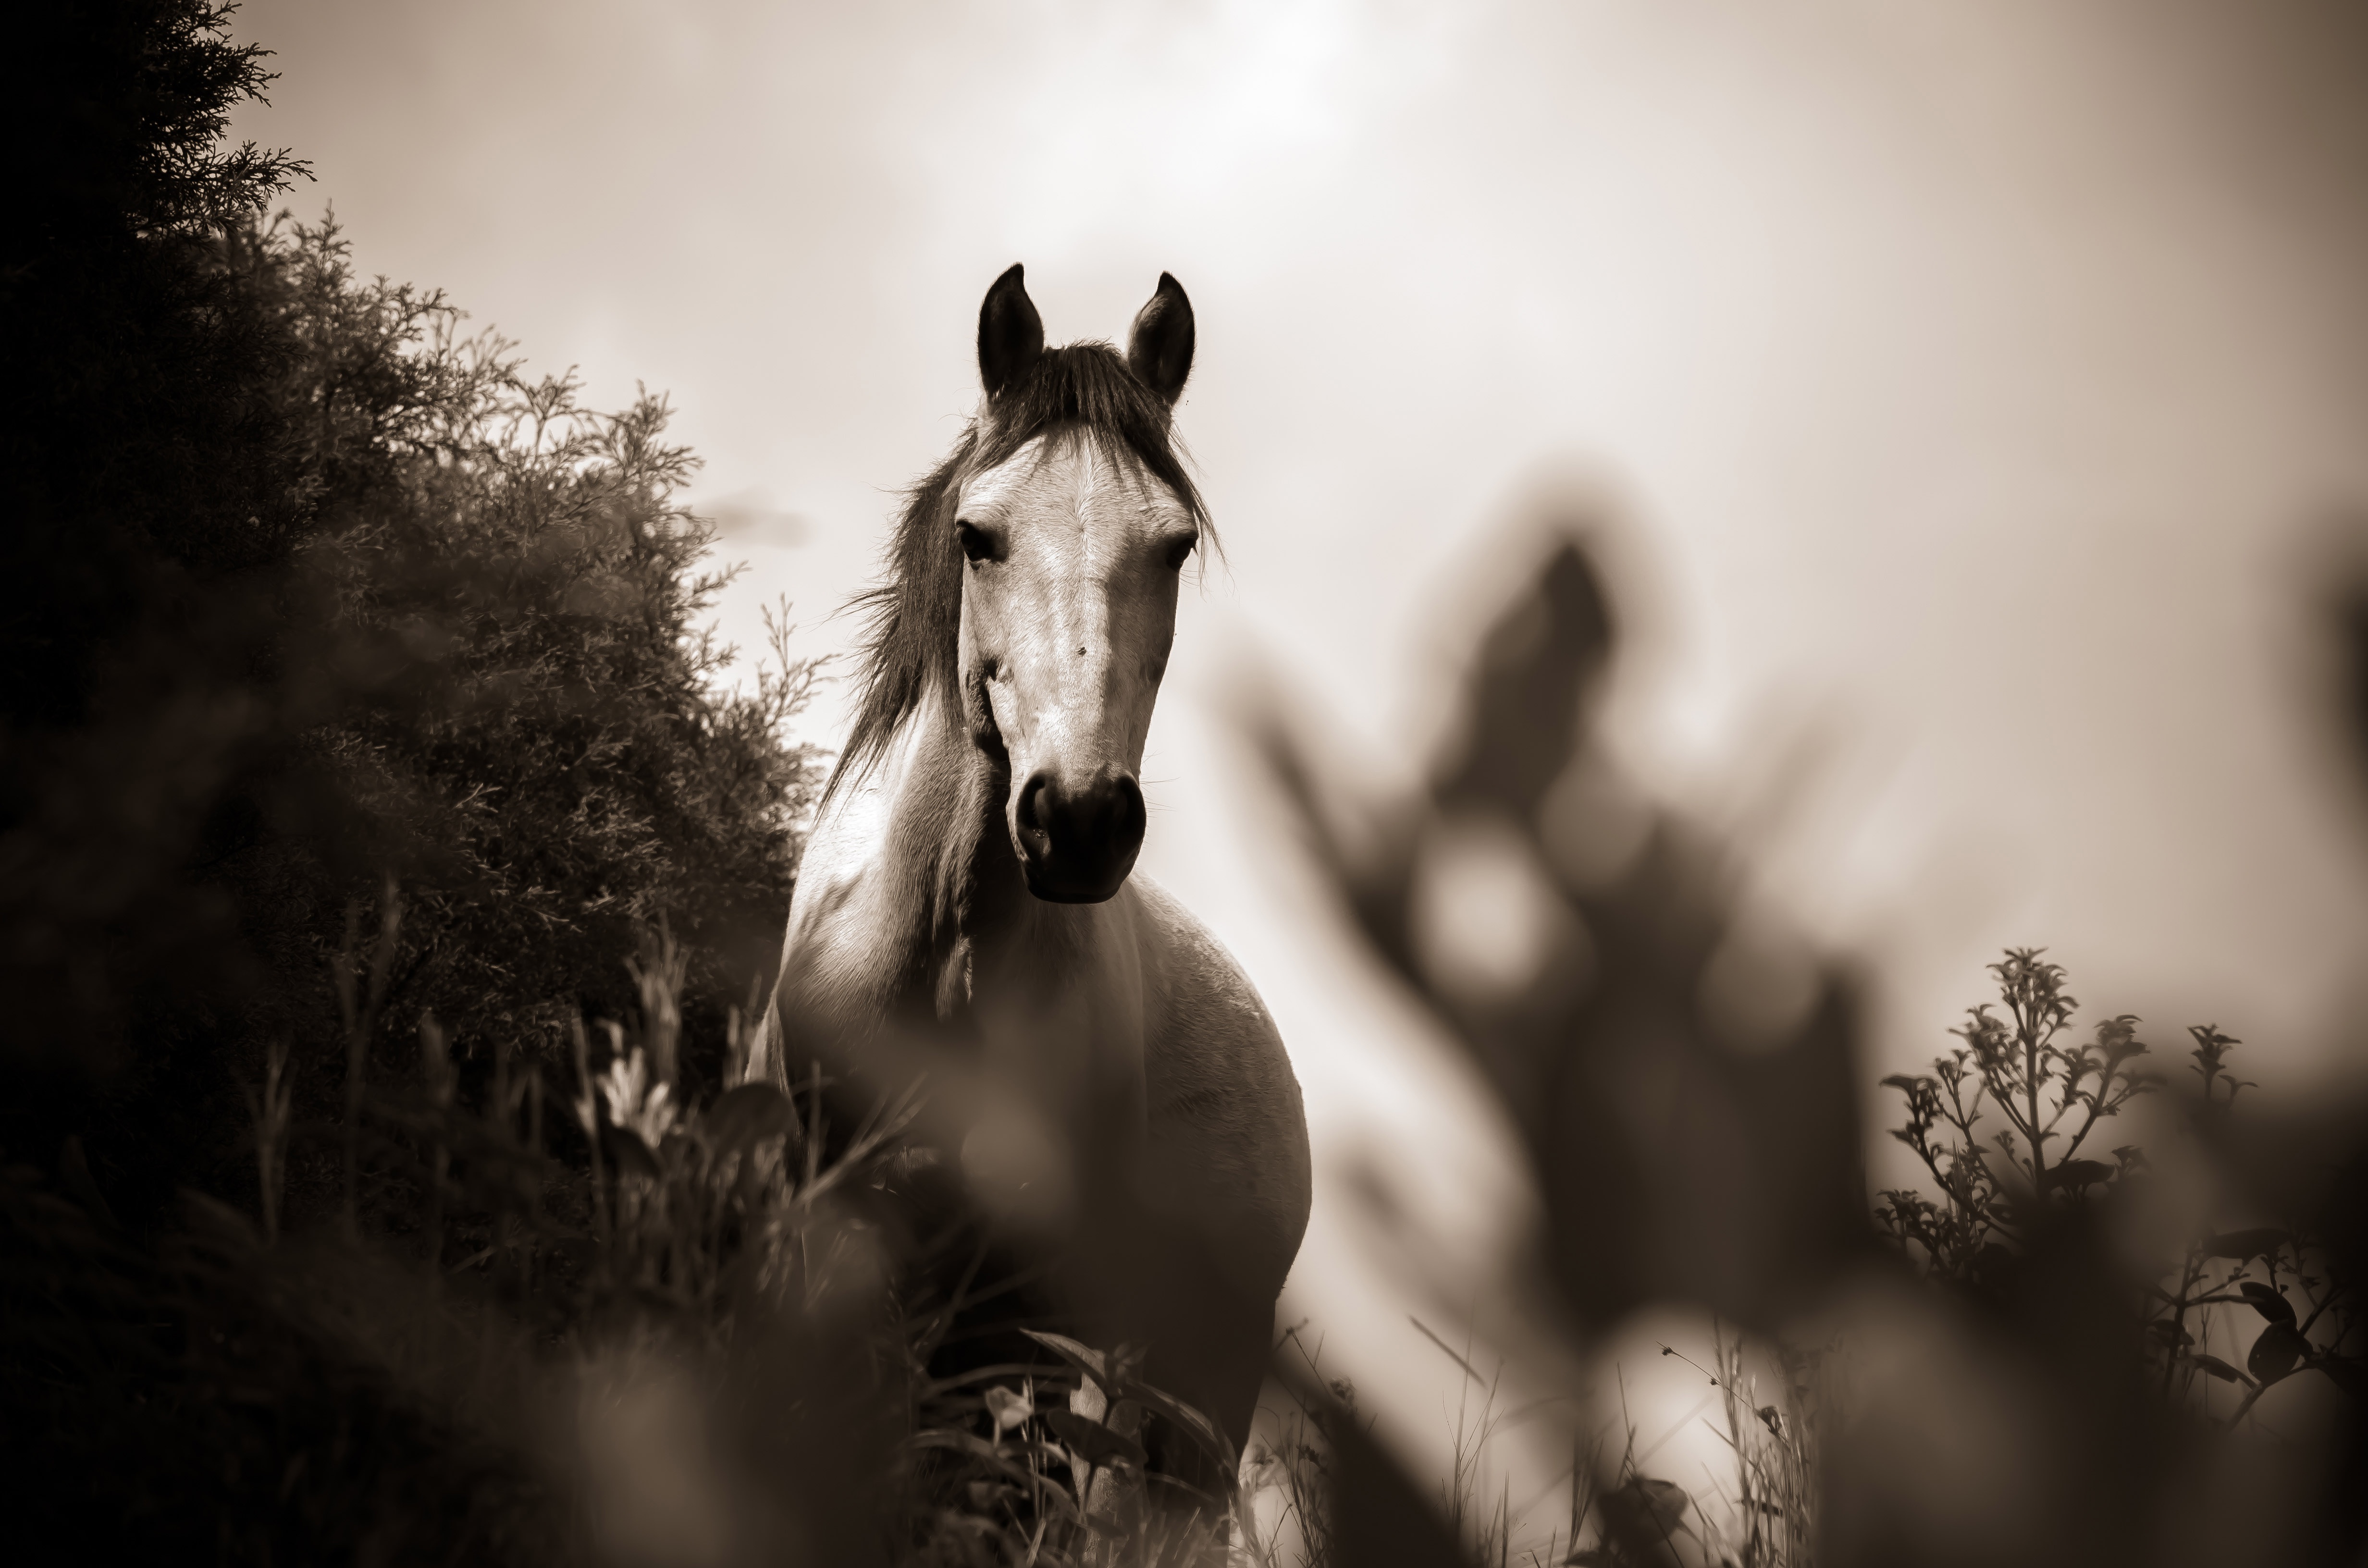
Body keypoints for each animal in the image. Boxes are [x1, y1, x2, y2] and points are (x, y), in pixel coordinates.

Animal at [748, 264, 1316, 1497]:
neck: (941, 957)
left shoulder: (1023, 1314)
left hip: (1185, 1399)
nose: (1079, 820)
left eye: (1173, 547)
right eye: (980, 536)